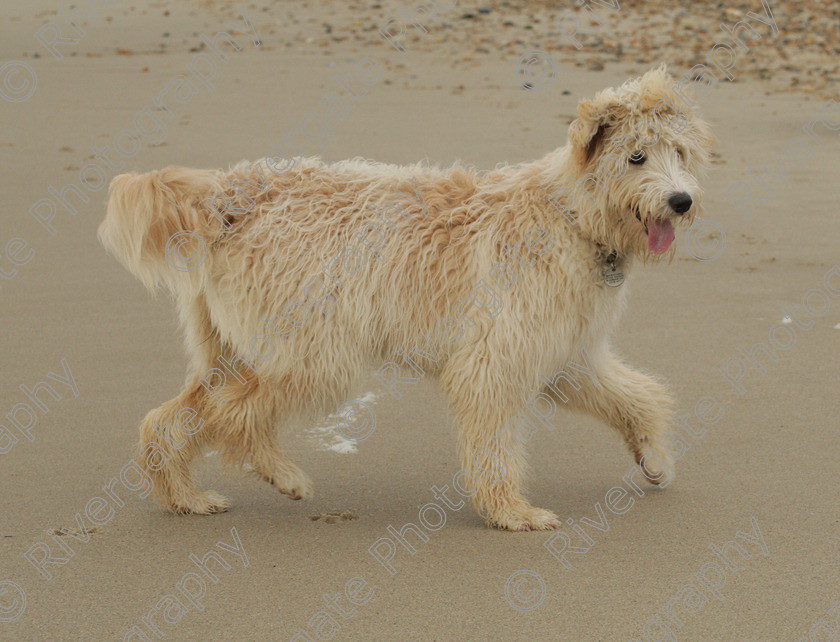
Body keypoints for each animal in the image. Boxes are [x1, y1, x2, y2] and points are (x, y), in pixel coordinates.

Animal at [100, 67, 716, 528]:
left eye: (680, 153)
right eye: (636, 157)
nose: (681, 201)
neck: (570, 216)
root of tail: (230, 193)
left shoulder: (569, 354)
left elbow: (635, 398)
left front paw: (654, 457)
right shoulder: (494, 359)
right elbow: (494, 443)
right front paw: (511, 512)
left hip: (233, 346)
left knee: (172, 418)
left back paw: (185, 497)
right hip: (317, 351)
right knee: (234, 413)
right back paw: (281, 474)